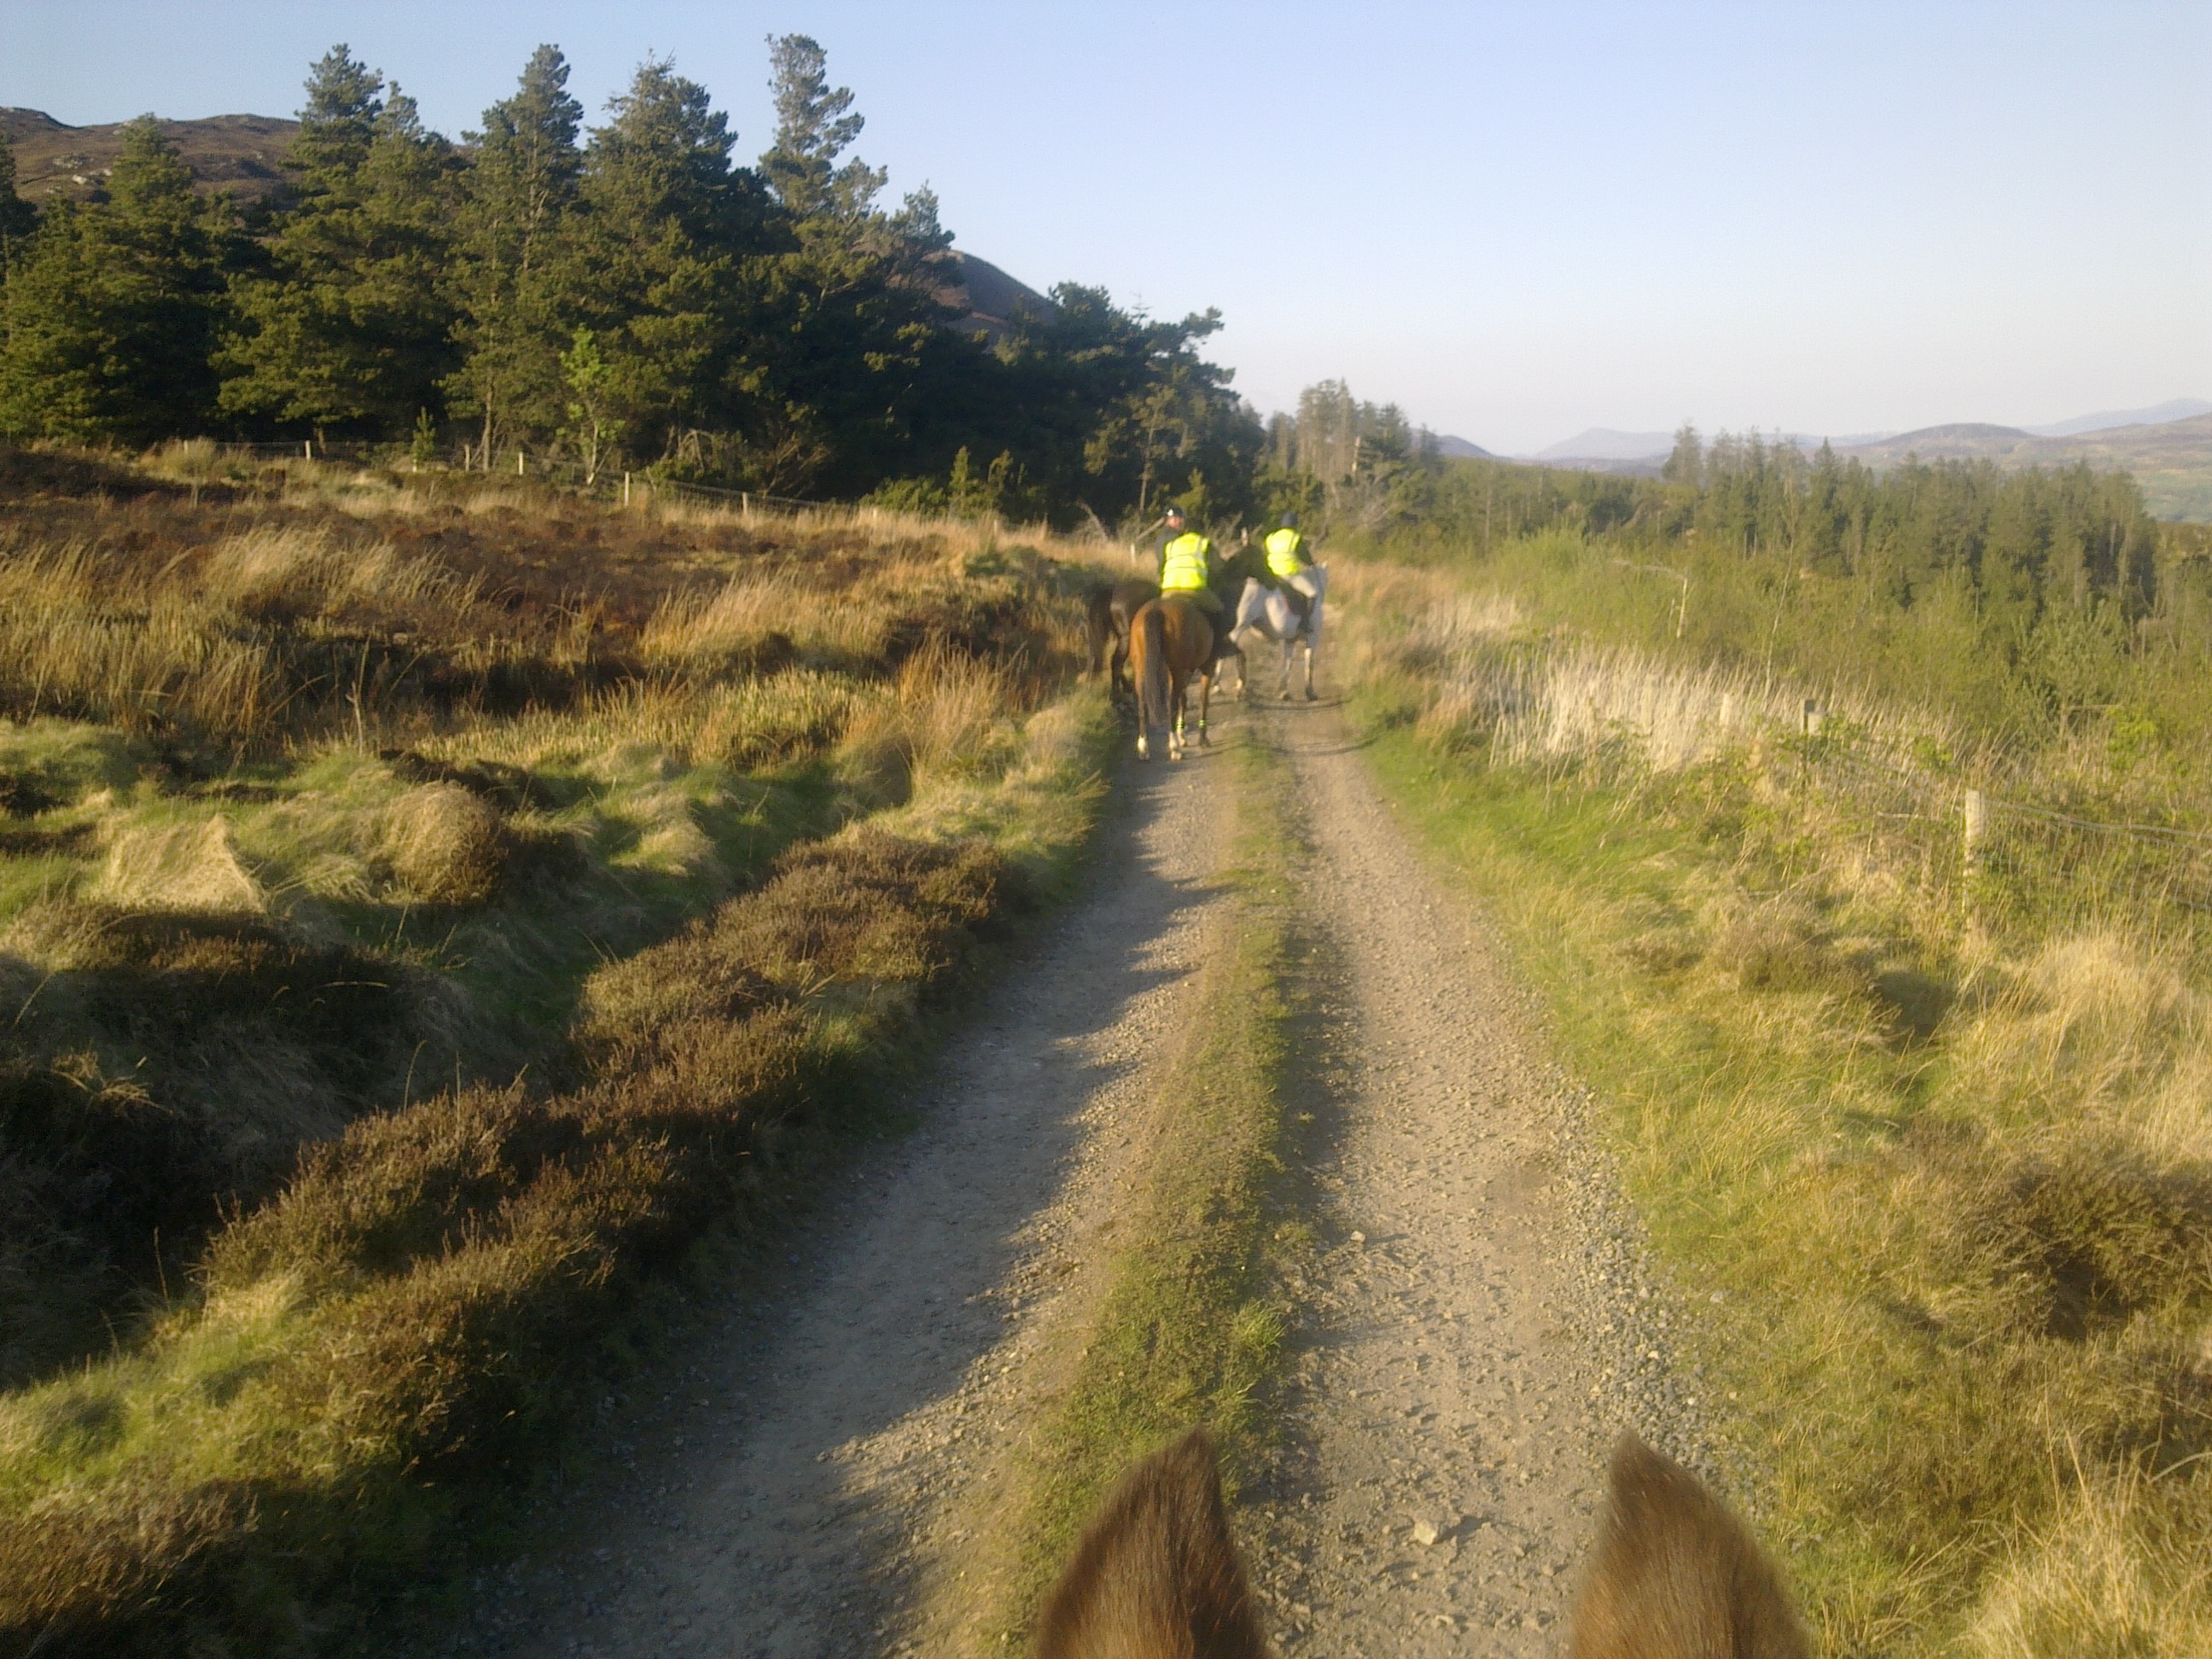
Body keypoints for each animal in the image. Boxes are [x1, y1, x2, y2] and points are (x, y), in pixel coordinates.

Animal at [1128, 595, 1216, 762]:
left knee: (1142, 705)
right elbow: (1202, 700)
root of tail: (1156, 610)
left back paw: (1143, 748)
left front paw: (1183, 736)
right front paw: (1202, 739)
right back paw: (1175, 749)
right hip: (1177, 670)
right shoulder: (1208, 666)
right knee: (1171, 704)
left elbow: (1184, 699)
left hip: (1140, 667)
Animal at [1223, 565, 1327, 702]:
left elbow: (1288, 662)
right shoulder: (1313, 638)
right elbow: (1309, 662)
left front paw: (1284, 692)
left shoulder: (1290, 640)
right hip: (1238, 627)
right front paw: (1310, 692)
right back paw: (1224, 687)